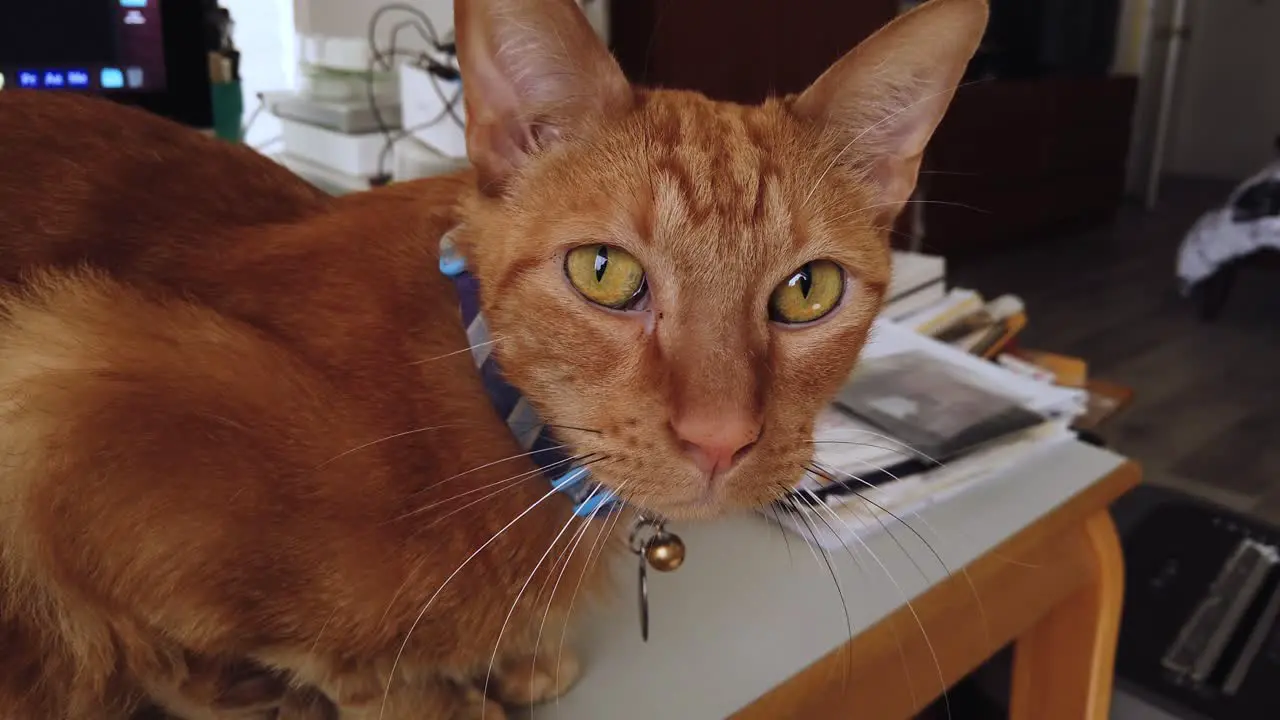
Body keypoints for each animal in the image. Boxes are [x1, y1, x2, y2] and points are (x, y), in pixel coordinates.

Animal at [0, 0, 983, 712]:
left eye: (808, 290)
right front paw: (441, 694)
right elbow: (321, 662)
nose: (719, 440)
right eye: (605, 272)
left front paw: (511, 664)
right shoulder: (65, 384)